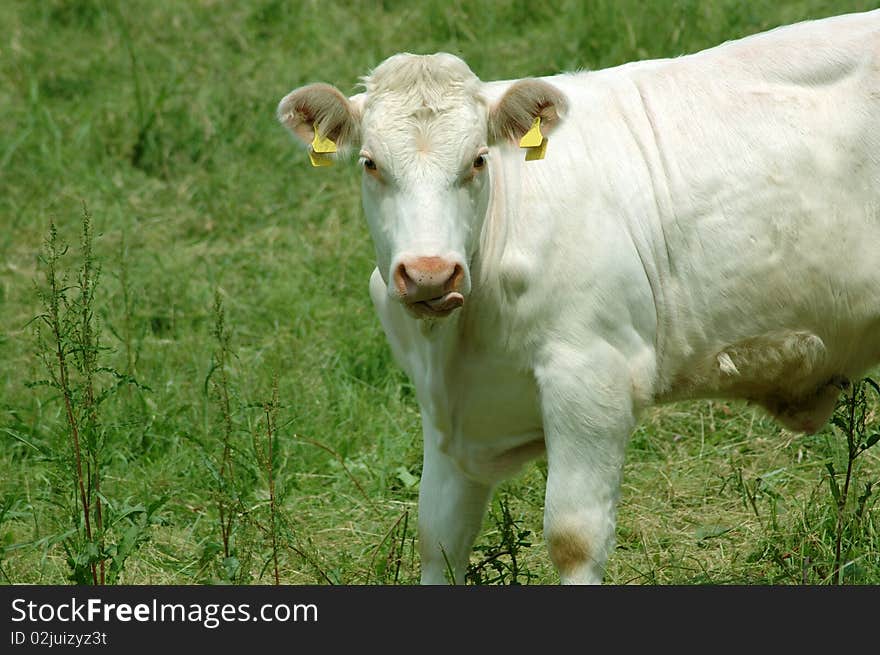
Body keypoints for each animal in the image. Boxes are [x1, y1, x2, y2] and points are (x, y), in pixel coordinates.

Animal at [280, 11, 880, 584]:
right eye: (371, 163)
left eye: (477, 160)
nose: (430, 274)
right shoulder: (445, 413)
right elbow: (439, 540)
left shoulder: (592, 378)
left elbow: (573, 539)